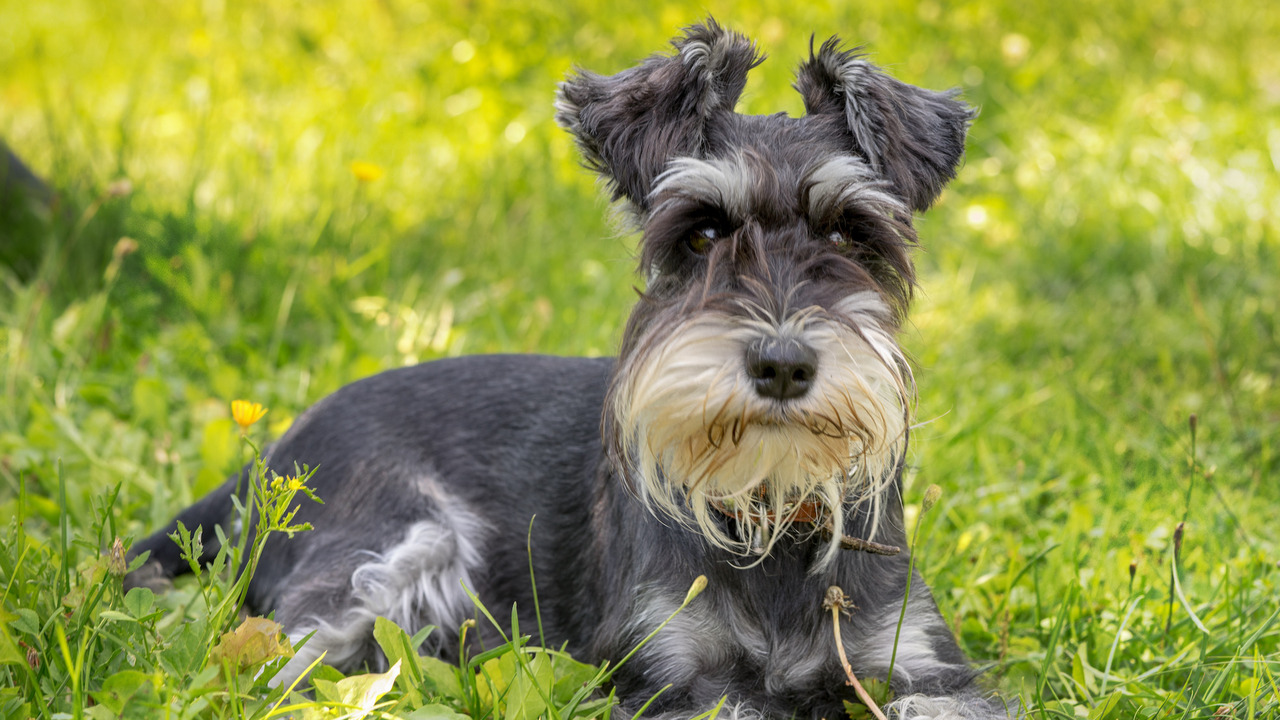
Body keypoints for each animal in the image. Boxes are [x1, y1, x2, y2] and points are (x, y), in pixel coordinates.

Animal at [129, 19, 1008, 717]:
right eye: (701, 232)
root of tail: (275, 450)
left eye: (850, 233)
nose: (783, 364)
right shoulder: (672, 677)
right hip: (384, 554)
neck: (769, 514)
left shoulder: (923, 666)